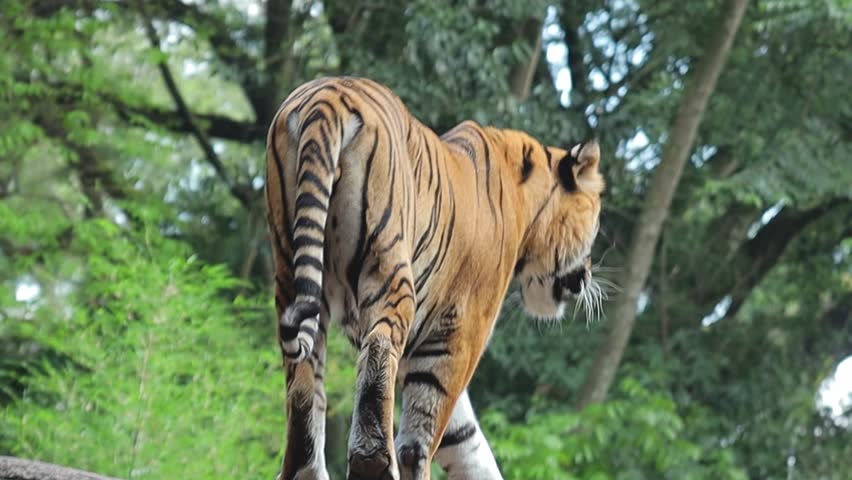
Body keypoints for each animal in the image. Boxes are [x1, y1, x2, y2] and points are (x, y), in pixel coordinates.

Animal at [265, 76, 605, 480]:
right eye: (596, 225)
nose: (587, 276)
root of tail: (327, 97)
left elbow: (468, 444)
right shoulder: (461, 332)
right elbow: (425, 432)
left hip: (292, 272)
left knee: (304, 386)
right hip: (389, 265)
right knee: (378, 347)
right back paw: (373, 462)